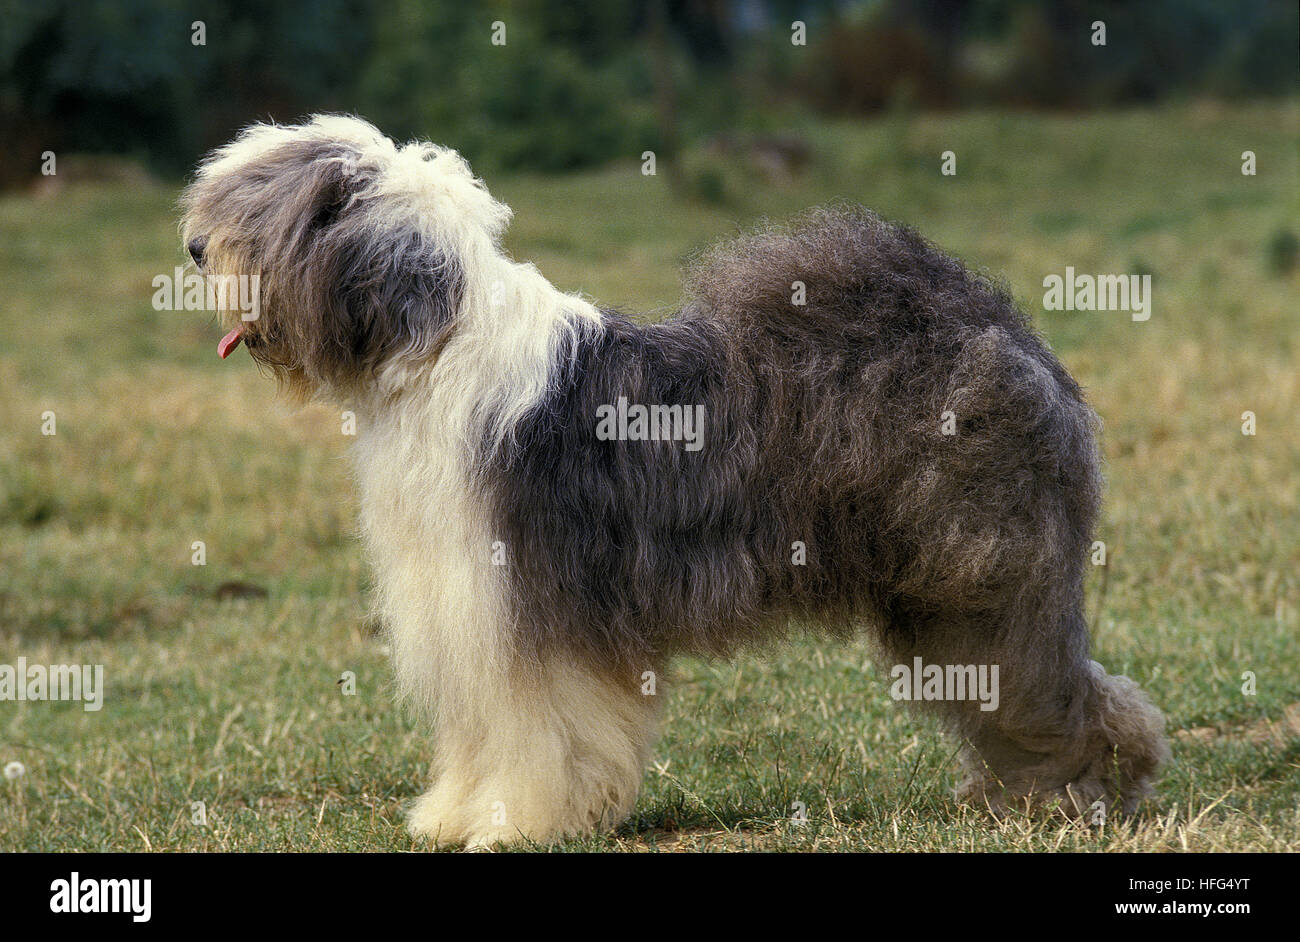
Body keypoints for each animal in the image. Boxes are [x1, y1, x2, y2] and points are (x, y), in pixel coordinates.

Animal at [180, 115, 1170, 847]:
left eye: (261, 208)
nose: (192, 248)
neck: (434, 345)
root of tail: (997, 322)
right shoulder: (464, 605)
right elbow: (479, 730)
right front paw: (453, 816)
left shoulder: (537, 608)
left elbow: (542, 729)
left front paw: (518, 824)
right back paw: (1027, 794)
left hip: (981, 577)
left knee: (1060, 686)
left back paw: (1087, 792)